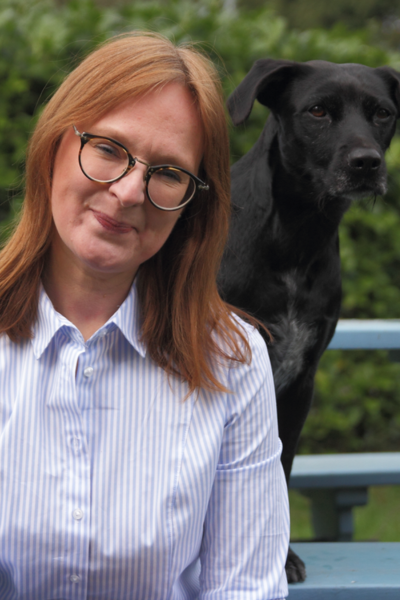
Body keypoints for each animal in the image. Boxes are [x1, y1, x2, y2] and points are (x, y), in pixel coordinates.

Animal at [219, 61, 400, 580]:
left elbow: (278, 471)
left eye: (383, 113)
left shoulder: (300, 380)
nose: (366, 163)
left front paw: (278, 557)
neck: (296, 237)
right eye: (318, 111)